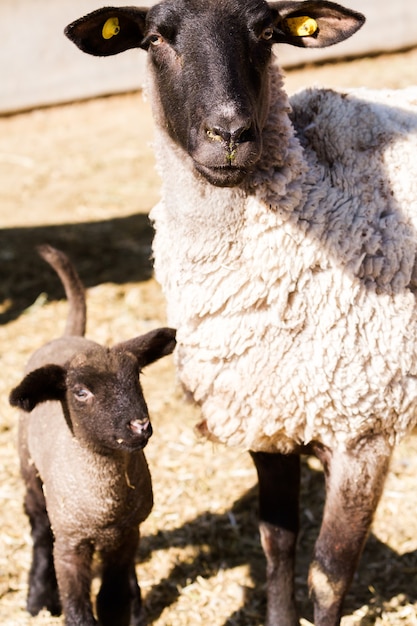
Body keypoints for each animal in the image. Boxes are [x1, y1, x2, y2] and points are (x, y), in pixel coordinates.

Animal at [65, 4, 416, 624]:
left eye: (268, 32)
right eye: (155, 38)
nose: (229, 135)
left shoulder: (366, 431)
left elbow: (329, 575)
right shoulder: (267, 417)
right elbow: (277, 544)